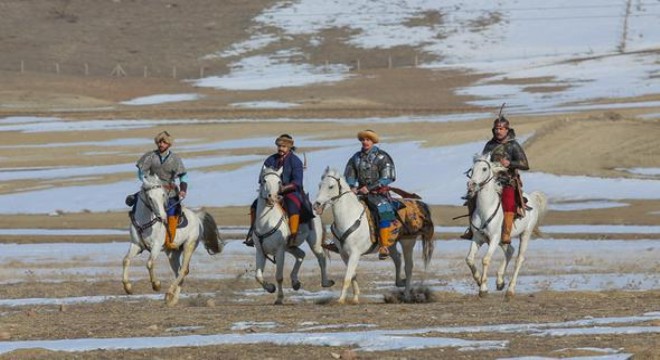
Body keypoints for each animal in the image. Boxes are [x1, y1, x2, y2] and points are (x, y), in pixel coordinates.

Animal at [123, 174, 224, 306]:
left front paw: (156, 285)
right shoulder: (136, 245)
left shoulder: (156, 246)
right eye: (150, 197)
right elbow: (126, 260)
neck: (145, 222)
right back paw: (172, 300)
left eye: (163, 194)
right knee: (179, 271)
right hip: (173, 253)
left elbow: (149, 263)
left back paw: (168, 294)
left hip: (189, 246)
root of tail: (197, 217)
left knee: (183, 271)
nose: (162, 217)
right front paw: (128, 288)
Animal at [253, 166, 336, 304]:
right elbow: (258, 276)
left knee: (321, 257)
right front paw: (270, 288)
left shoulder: (280, 251)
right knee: (301, 254)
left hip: (313, 243)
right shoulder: (260, 251)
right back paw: (295, 282)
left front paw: (279, 298)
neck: (266, 222)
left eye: (279, 182)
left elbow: (279, 276)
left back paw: (325, 282)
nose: (272, 198)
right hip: (290, 247)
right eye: (264, 180)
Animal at [314, 167, 436, 306]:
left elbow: (347, 277)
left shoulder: (355, 253)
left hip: (408, 242)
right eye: (319, 185)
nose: (316, 205)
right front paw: (355, 298)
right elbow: (353, 275)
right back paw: (400, 282)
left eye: (331, 186)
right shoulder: (344, 254)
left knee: (408, 267)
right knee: (398, 259)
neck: (349, 217)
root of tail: (418, 205)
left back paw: (406, 295)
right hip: (391, 244)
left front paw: (340, 300)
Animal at [466, 155, 548, 298]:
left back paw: (510, 289)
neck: (485, 209)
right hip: (503, 240)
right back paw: (500, 281)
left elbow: (486, 259)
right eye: (472, 169)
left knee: (519, 259)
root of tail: (532, 199)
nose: (471, 185)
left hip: (525, 234)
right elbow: (469, 259)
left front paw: (483, 289)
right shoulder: (477, 238)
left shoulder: (493, 238)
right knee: (510, 250)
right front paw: (478, 280)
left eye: (484, 168)